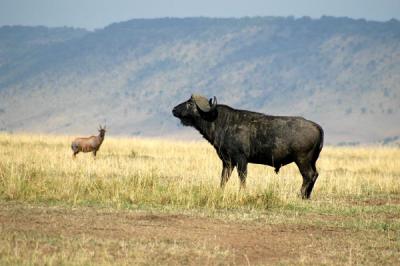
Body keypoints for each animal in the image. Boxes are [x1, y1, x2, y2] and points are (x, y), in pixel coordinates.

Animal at [171, 94, 322, 198]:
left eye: (190, 103)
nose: (174, 109)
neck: (221, 121)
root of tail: (317, 126)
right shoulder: (227, 162)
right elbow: (223, 179)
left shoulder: (241, 160)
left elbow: (242, 178)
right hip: (311, 161)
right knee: (315, 175)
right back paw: (306, 196)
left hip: (302, 160)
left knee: (308, 175)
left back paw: (301, 195)